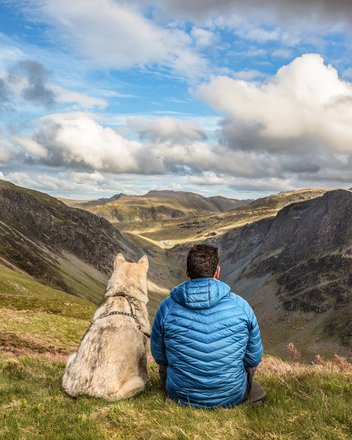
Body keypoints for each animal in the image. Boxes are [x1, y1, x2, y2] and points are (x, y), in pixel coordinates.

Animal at [62, 253, 150, 400]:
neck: (124, 294)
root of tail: (86, 392)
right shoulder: (143, 349)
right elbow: (145, 370)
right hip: (135, 384)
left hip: (71, 359)